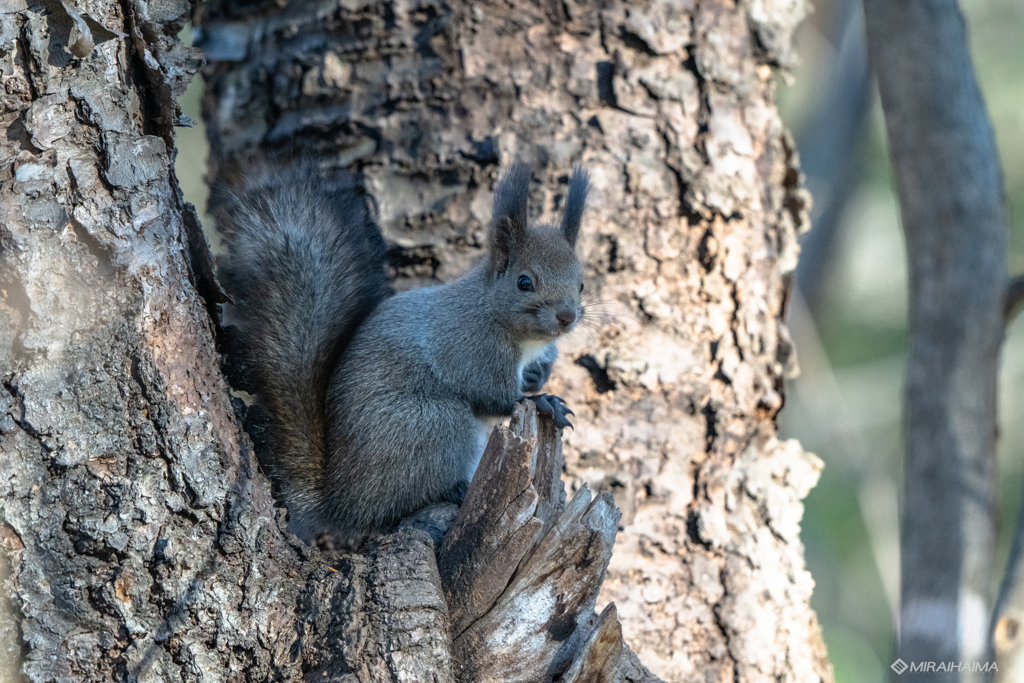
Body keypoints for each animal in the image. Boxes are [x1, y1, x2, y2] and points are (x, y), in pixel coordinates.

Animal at [220, 162, 589, 540]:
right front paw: (540, 400)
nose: (567, 316)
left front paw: (540, 380)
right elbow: (493, 396)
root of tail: (343, 500)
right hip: (433, 425)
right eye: (524, 282)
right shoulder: (469, 349)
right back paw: (454, 490)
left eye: (581, 283)